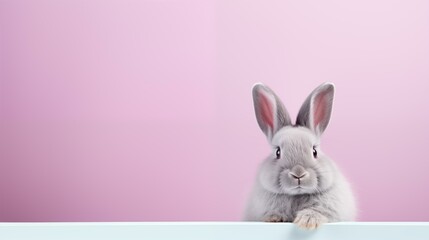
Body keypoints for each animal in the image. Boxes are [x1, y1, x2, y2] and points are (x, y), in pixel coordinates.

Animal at [242, 83, 356, 231]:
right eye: (278, 152)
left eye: (314, 151)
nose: (298, 173)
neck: (297, 195)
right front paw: (273, 218)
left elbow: (318, 211)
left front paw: (307, 222)